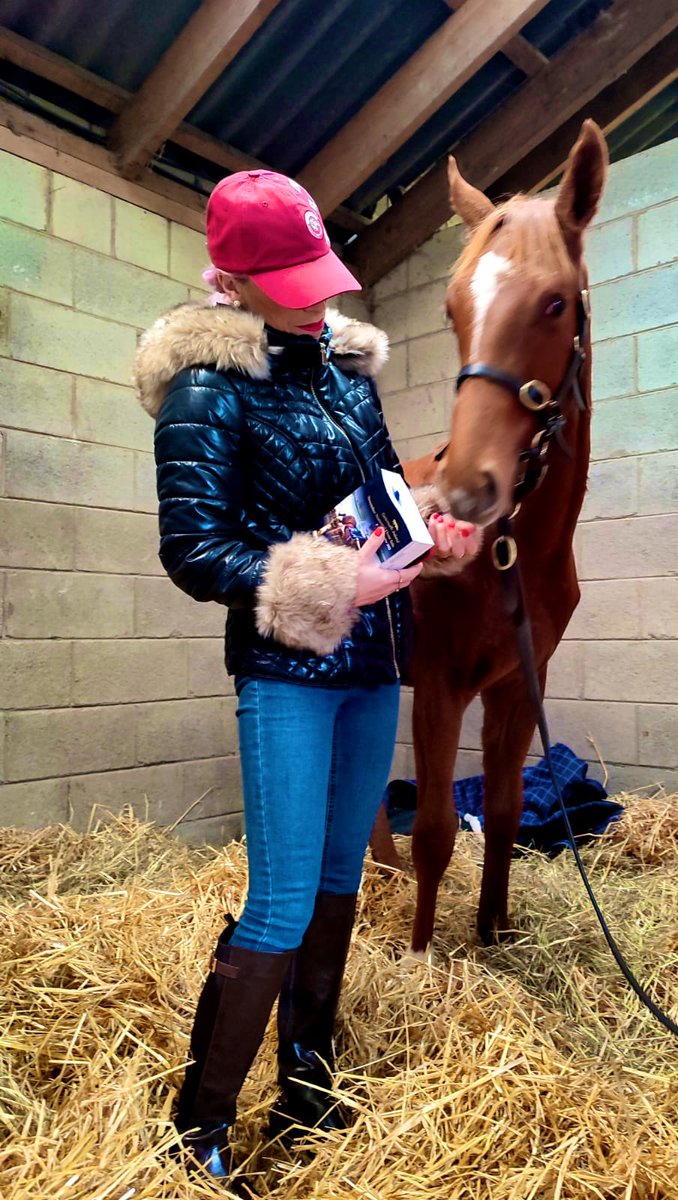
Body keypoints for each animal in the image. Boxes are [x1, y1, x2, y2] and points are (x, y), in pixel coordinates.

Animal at [372, 117, 604, 950]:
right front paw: (419, 953)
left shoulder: (515, 687)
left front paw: (495, 929)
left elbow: (502, 813)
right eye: (451, 308)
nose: (467, 493)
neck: (514, 556)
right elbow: (439, 827)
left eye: (557, 303)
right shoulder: (441, 683)